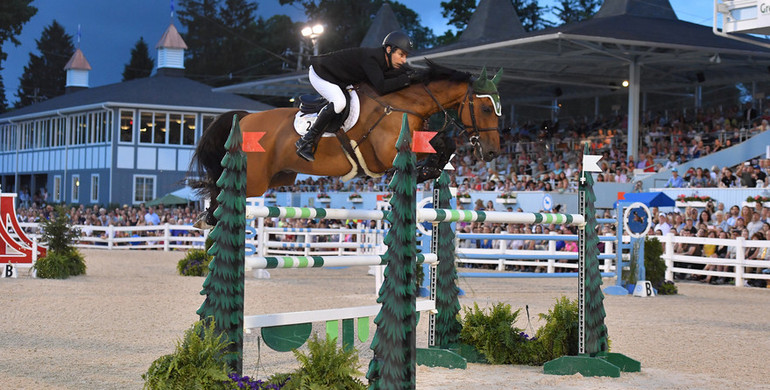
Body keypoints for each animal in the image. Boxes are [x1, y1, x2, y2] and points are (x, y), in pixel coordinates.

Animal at [191, 61, 500, 227]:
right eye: (486, 108)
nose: (492, 151)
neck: (404, 103)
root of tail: (244, 119)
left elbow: (444, 143)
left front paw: (431, 170)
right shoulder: (387, 152)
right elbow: (439, 142)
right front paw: (426, 170)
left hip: (278, 177)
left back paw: (208, 217)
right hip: (255, 179)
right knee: (219, 186)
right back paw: (209, 217)